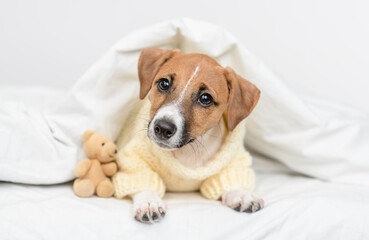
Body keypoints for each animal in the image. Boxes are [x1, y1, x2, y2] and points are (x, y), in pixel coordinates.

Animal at [112, 47, 262, 224]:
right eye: (164, 83)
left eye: (205, 98)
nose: (162, 128)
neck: (187, 151)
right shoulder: (134, 160)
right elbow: (142, 179)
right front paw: (149, 202)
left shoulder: (232, 162)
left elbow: (232, 178)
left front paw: (242, 194)